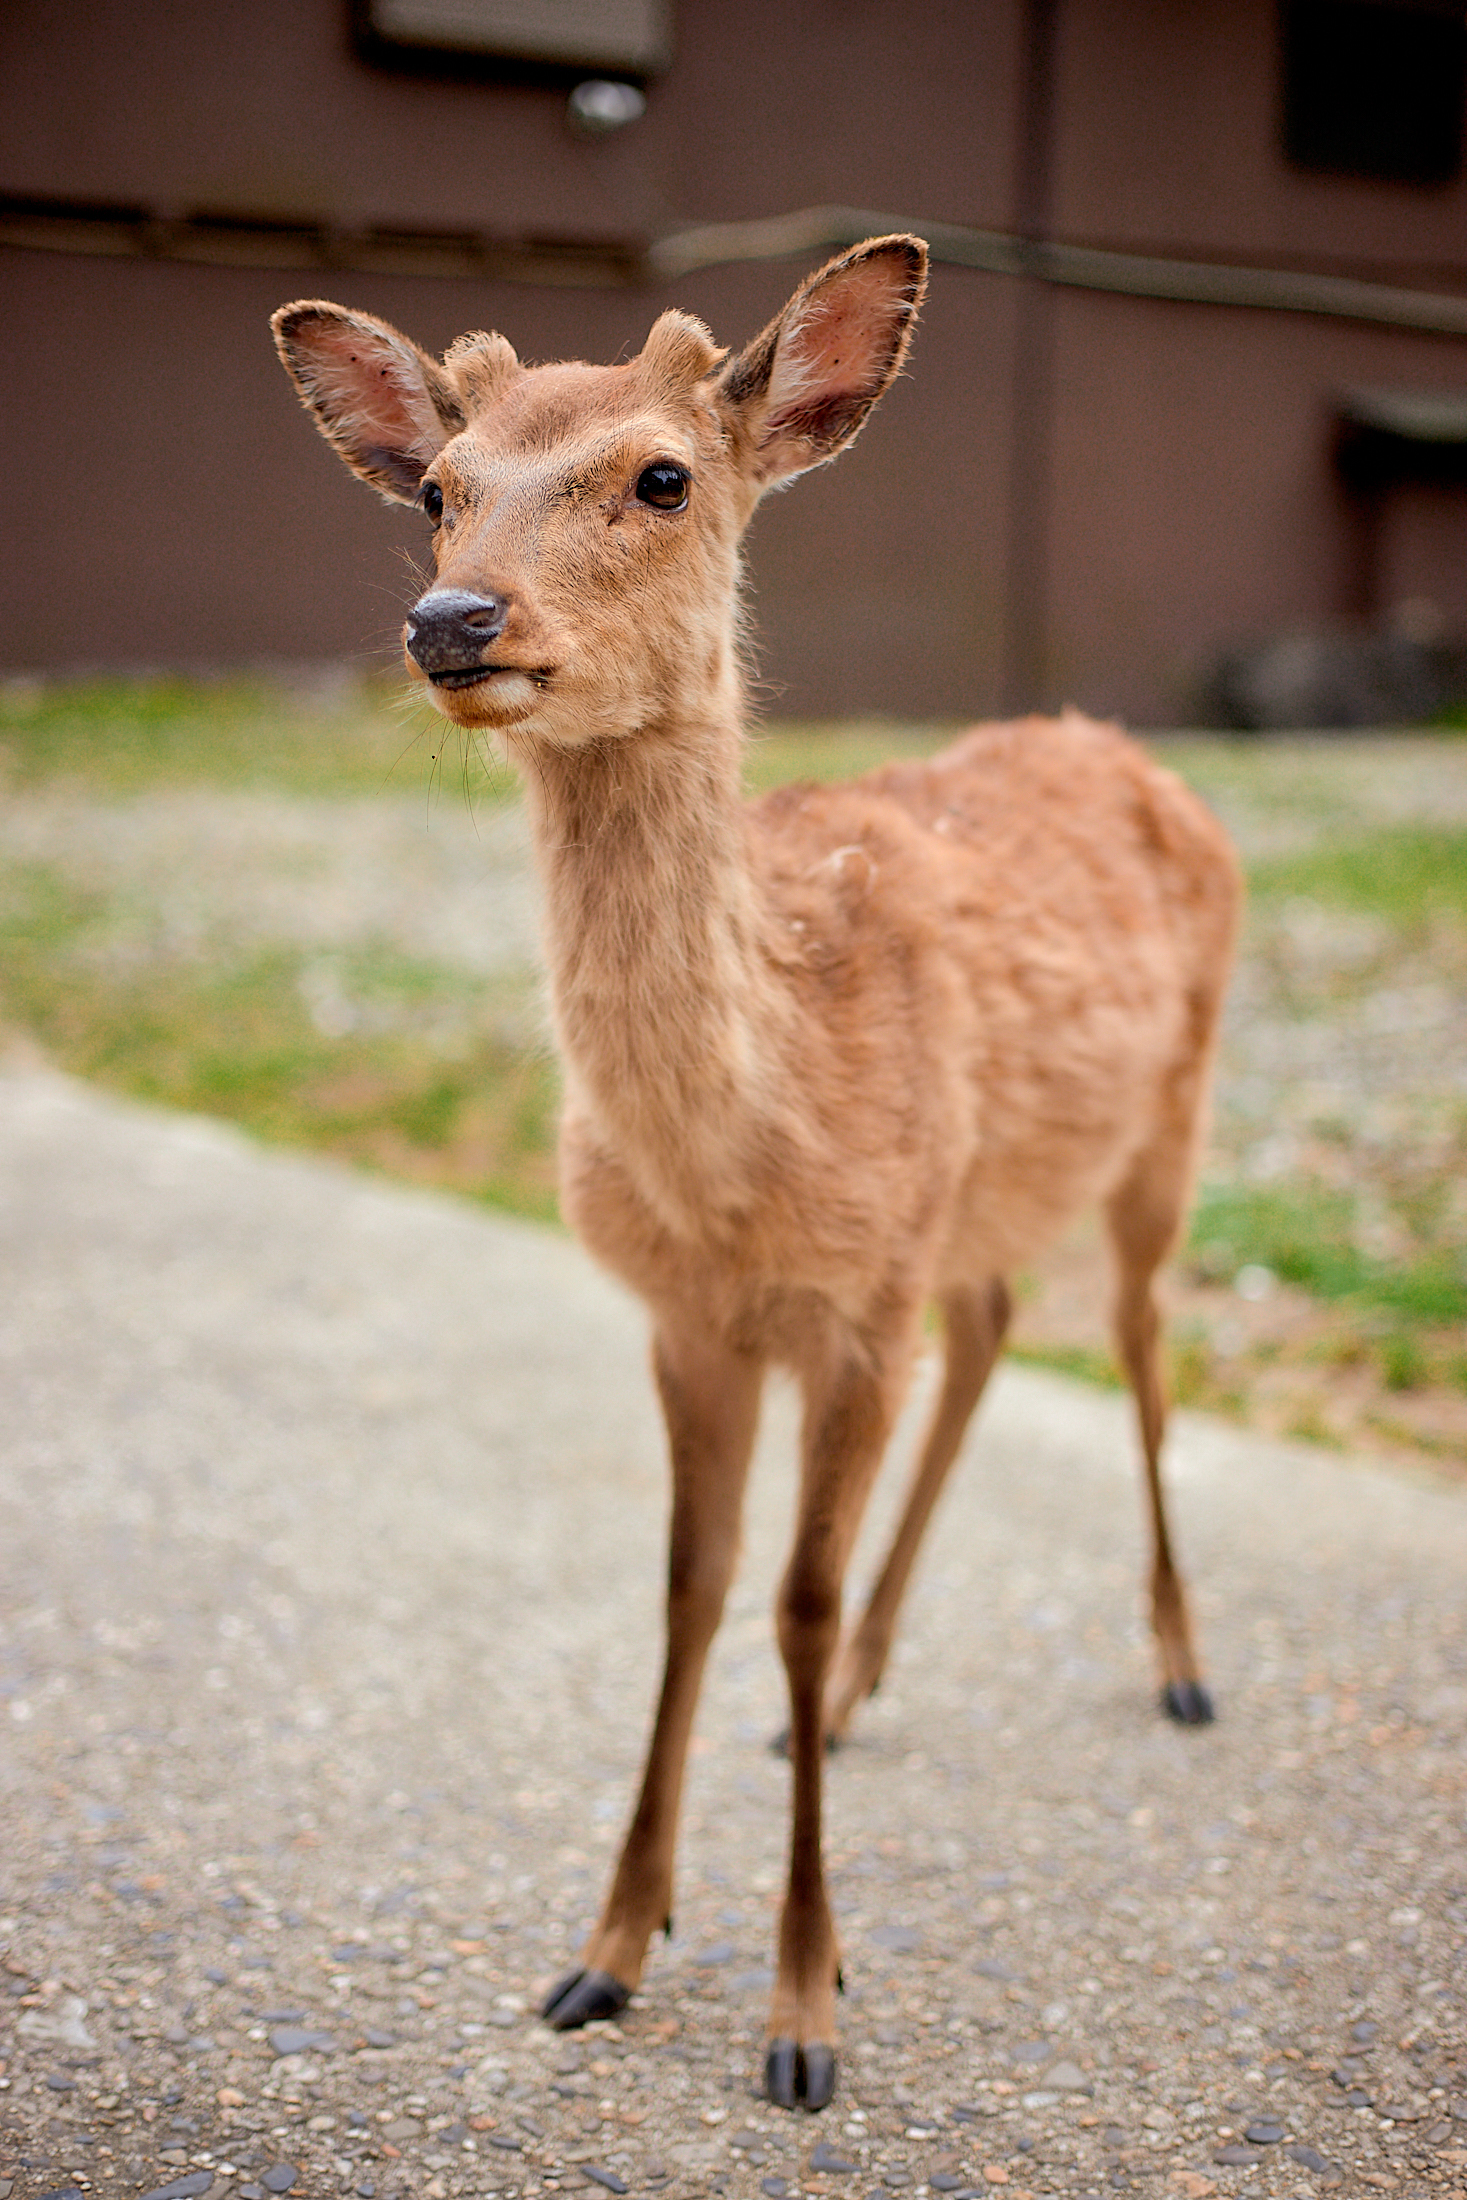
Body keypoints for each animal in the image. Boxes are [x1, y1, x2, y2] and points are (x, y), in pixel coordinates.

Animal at [272, 227, 1240, 2112]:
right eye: (435, 490)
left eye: (661, 476)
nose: (451, 623)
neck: (744, 1153)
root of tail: (1123, 745)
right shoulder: (696, 1320)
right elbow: (687, 1590)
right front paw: (605, 1949)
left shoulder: (852, 1307)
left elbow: (784, 1597)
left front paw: (804, 2012)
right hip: (979, 1204)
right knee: (996, 1328)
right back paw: (859, 1695)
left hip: (1170, 1115)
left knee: (1143, 1339)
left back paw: (1174, 1668)